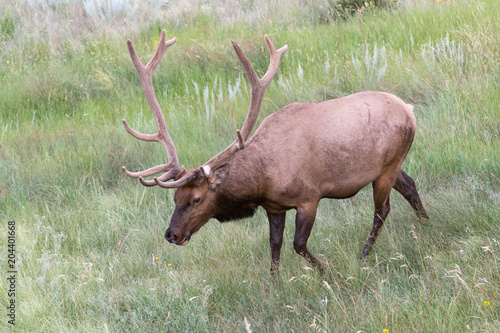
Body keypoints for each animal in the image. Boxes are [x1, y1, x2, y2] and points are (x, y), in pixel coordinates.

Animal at [120, 29, 426, 272]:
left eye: (196, 199)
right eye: (175, 199)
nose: (171, 234)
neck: (261, 182)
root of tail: (410, 110)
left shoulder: (309, 197)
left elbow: (298, 244)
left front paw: (327, 269)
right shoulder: (274, 207)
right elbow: (275, 246)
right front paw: (275, 283)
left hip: (388, 165)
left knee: (382, 209)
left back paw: (363, 255)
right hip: (389, 166)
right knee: (410, 185)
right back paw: (426, 223)